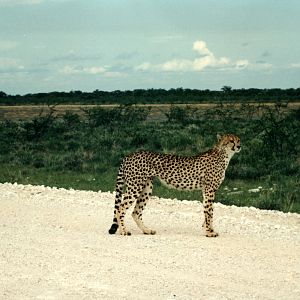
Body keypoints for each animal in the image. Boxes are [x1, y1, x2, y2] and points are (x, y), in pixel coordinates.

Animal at [109, 134, 240, 237]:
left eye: (238, 140)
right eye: (231, 141)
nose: (239, 146)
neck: (223, 154)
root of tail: (129, 155)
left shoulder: (208, 190)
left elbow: (208, 211)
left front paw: (208, 229)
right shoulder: (209, 190)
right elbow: (209, 212)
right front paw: (209, 232)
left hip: (146, 188)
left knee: (135, 212)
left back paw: (147, 230)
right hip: (135, 187)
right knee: (120, 208)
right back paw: (124, 231)